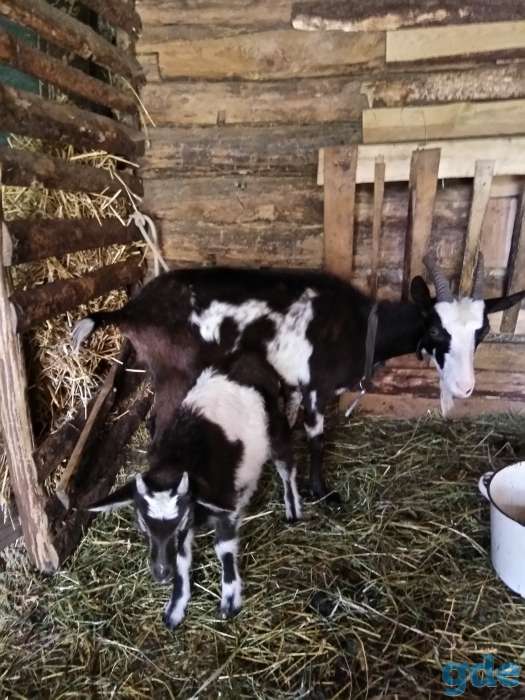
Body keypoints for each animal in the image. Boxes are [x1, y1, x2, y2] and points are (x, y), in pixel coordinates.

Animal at [74, 253, 525, 502]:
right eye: (435, 330)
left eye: (482, 332)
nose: (465, 388)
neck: (361, 327)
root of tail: (130, 310)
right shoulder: (314, 387)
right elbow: (317, 440)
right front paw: (322, 492)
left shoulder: (291, 384)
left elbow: (287, 428)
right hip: (176, 372)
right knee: (158, 431)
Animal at [88, 352, 302, 628]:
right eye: (142, 524)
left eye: (181, 520)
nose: (161, 573)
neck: (180, 459)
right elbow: (181, 560)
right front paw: (175, 607)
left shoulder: (226, 506)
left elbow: (224, 548)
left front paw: (230, 599)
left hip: (275, 426)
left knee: (287, 466)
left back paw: (293, 508)